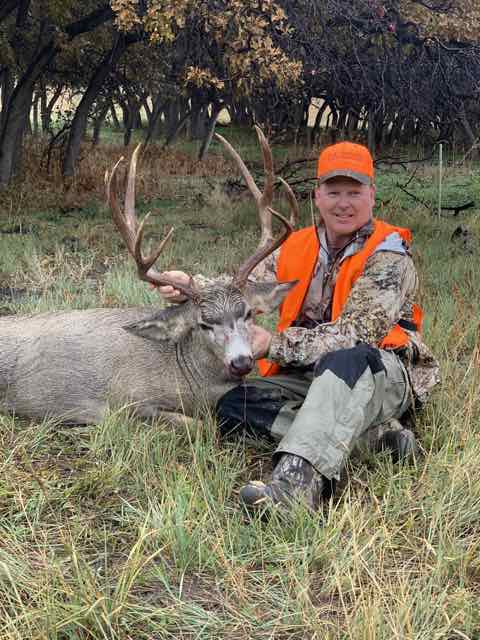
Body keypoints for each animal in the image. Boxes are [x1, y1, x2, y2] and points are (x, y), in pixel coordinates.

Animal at [0, 128, 299, 424]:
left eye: (247, 313)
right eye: (203, 324)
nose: (241, 362)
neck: (185, 376)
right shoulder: (127, 404)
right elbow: (198, 426)